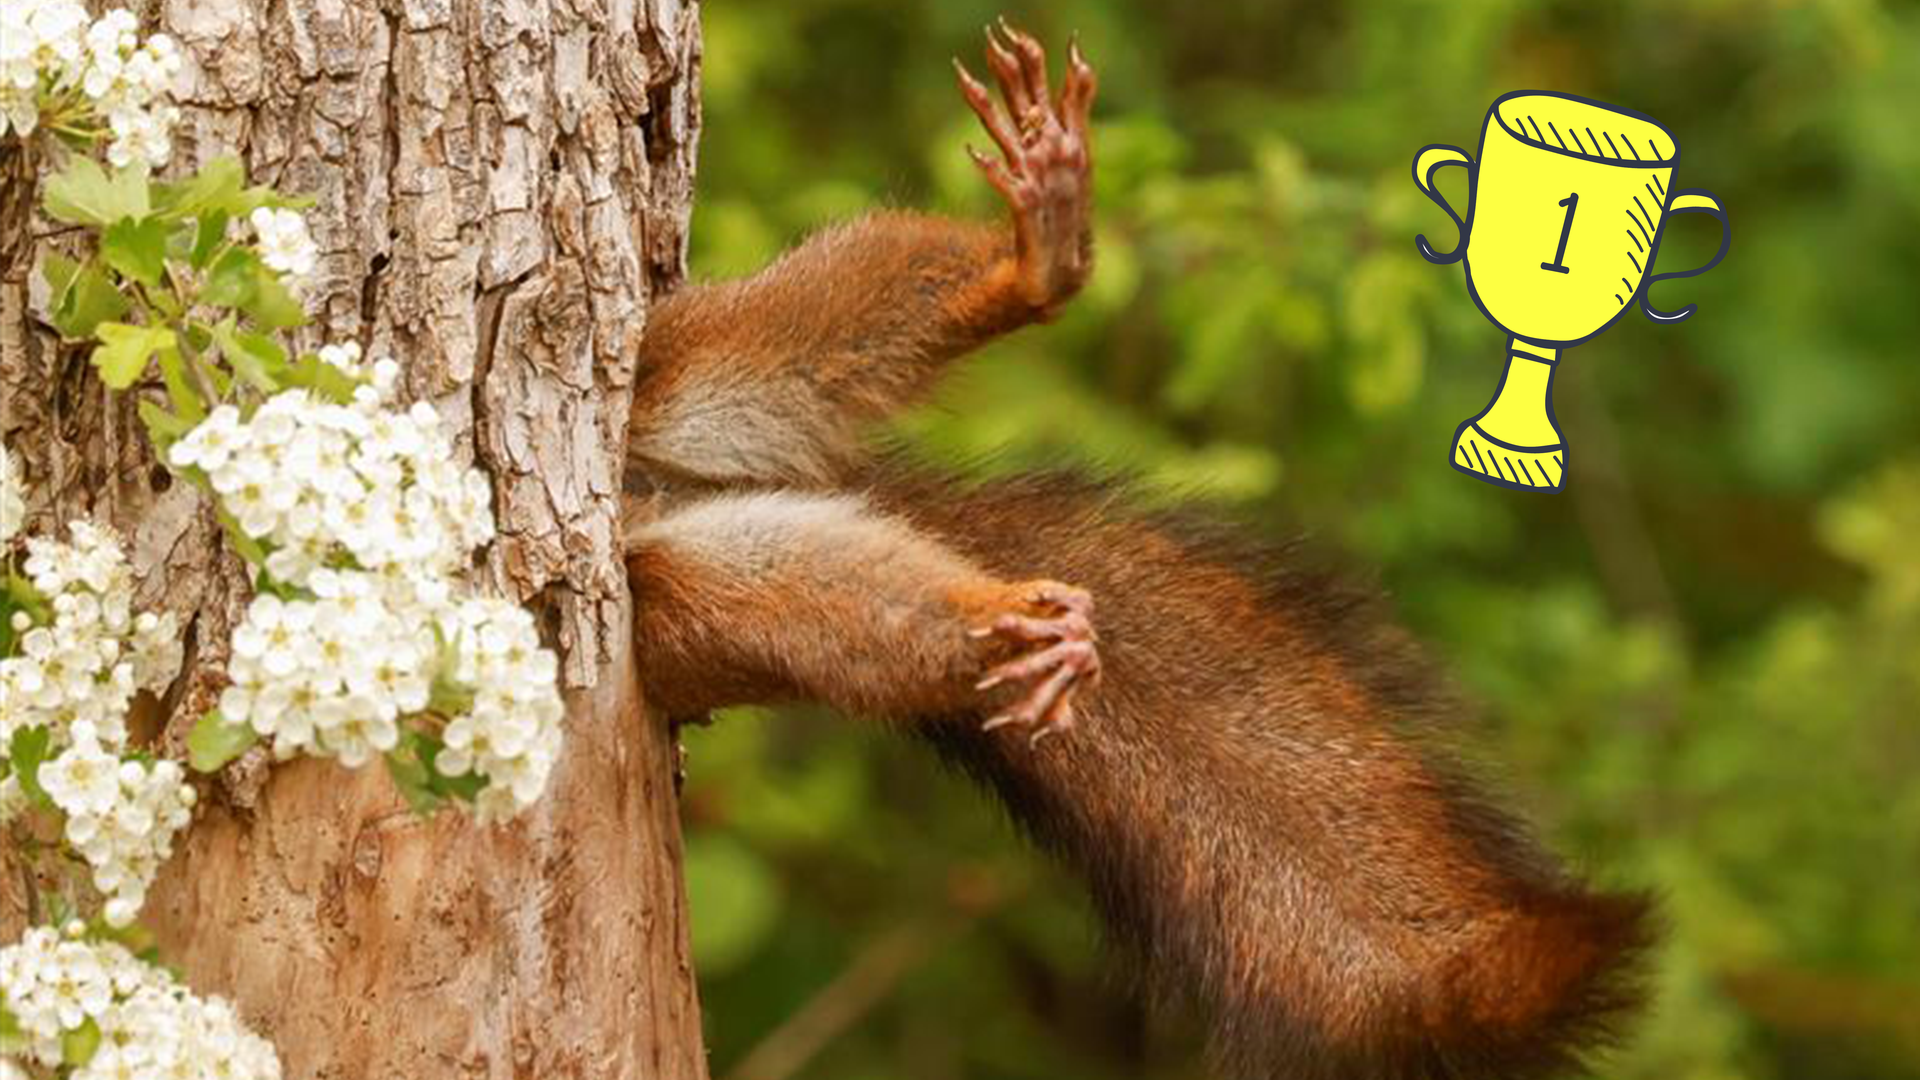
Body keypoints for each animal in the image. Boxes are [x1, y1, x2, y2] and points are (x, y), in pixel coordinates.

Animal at [621, 22, 1652, 1080]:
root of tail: (658, 494)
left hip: (679, 360)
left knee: (804, 331)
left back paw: (1038, 258)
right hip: (684, 599)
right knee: (821, 606)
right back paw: (1010, 631)